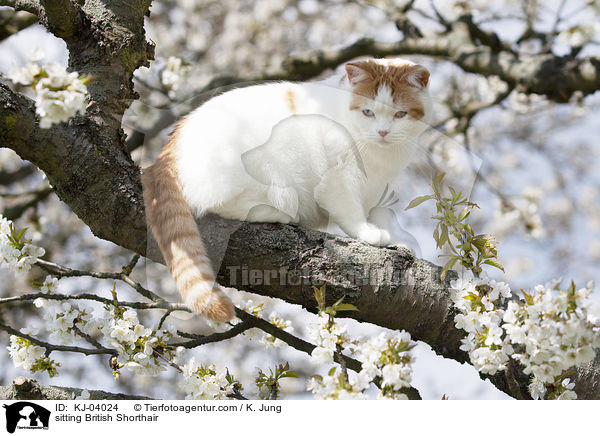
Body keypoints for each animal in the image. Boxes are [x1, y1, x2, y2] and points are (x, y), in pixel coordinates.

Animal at [143, 58, 434, 322]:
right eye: (368, 112)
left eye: (400, 114)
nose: (383, 132)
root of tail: (170, 148)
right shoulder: (337, 181)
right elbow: (352, 213)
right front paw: (370, 234)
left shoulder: (382, 189)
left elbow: (384, 216)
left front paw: (400, 240)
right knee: (220, 205)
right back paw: (279, 213)